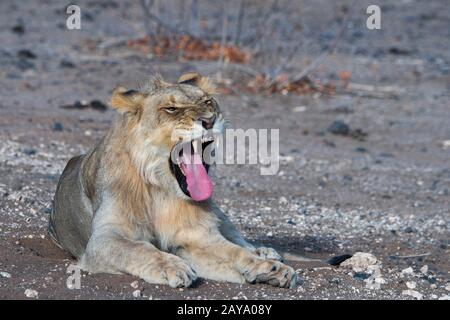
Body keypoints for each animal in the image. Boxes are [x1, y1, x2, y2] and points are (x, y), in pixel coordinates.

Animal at [49, 72, 298, 288]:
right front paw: (172, 266)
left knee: (239, 239)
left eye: (208, 101)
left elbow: (234, 251)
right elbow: (139, 248)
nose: (209, 120)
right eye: (171, 109)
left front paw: (269, 268)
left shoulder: (198, 236)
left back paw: (265, 253)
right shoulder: (104, 239)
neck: (162, 189)